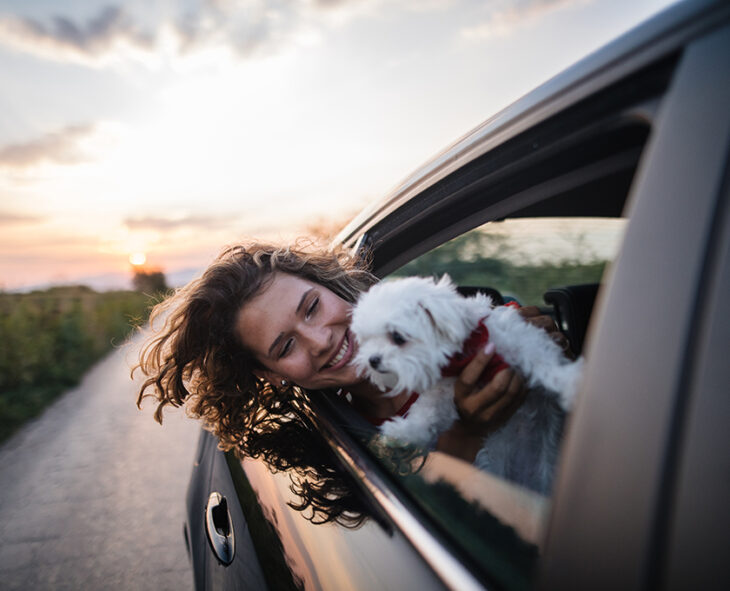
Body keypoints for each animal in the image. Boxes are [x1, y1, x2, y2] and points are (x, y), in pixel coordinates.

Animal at [350, 276, 584, 494]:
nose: (372, 360)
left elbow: (542, 361)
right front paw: (404, 433)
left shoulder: (518, 341)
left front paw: (568, 381)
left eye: (398, 337)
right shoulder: (445, 389)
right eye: (366, 339)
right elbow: (426, 415)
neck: (463, 355)